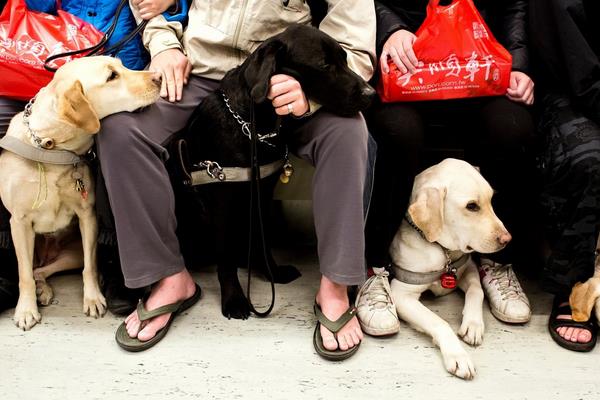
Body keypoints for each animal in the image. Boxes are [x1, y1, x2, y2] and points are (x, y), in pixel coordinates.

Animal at [0, 57, 161, 332]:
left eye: (122, 65)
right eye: (111, 76)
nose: (159, 77)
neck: (52, 148)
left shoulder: (87, 216)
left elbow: (90, 266)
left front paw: (93, 298)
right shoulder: (18, 222)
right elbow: (23, 275)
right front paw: (26, 310)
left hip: (70, 254)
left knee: (41, 271)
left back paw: (44, 288)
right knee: (32, 270)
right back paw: (40, 292)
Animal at [178, 24, 376, 318]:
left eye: (345, 58)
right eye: (325, 65)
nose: (371, 93)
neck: (255, 125)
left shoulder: (264, 188)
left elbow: (262, 238)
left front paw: (271, 271)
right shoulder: (222, 197)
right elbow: (225, 255)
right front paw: (234, 299)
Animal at [390, 158, 510, 380]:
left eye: (491, 200)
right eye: (471, 206)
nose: (507, 239)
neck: (443, 250)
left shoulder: (468, 268)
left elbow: (477, 291)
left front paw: (473, 324)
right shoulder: (401, 293)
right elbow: (439, 321)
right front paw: (458, 355)